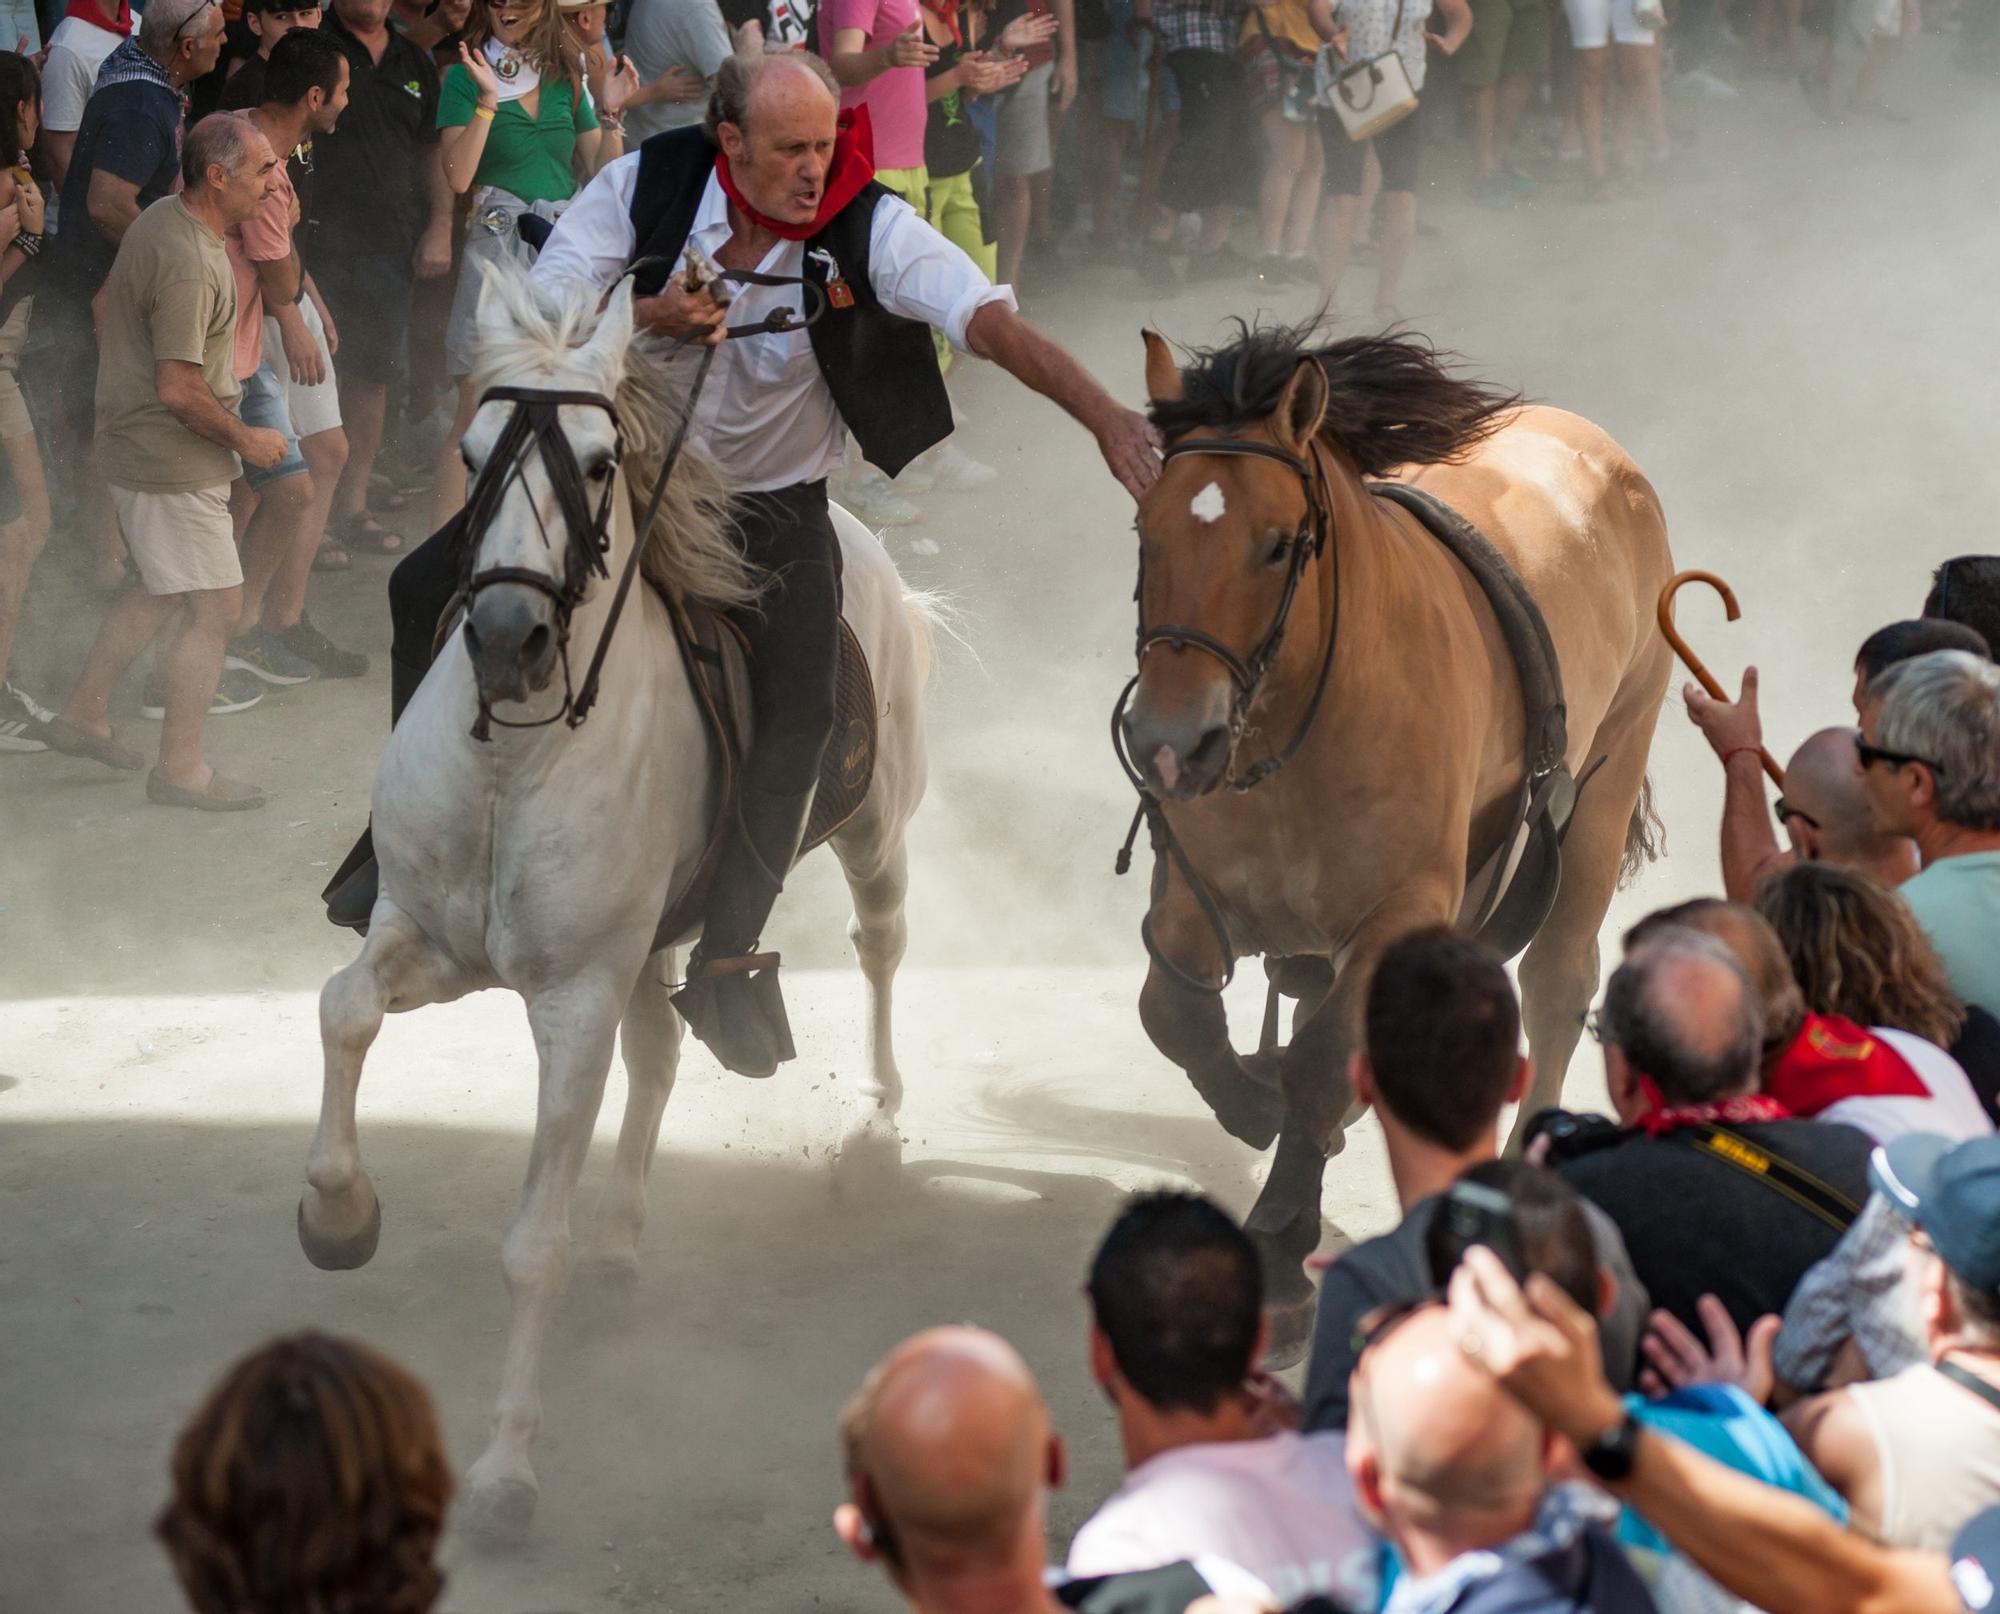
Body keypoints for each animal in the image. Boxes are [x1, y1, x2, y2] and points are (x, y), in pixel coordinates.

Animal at [298, 268, 936, 1544]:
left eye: (599, 462)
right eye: (473, 450)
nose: (507, 636)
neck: (515, 761)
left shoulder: (572, 998)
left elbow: (531, 1244)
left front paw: (505, 1471)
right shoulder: (425, 940)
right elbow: (345, 1007)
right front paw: (338, 1213)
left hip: (871, 830)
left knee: (878, 944)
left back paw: (876, 1122)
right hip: (648, 941)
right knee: (659, 1053)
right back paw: (625, 1238)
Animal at [1128, 322, 1672, 1360]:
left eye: (1275, 545)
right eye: (1148, 532)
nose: (1169, 742)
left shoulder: (1406, 906)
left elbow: (1321, 1058)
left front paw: (1280, 1239)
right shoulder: (1195, 893)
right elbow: (1175, 1014)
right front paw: (1253, 1108)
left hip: (1610, 774)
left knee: (1557, 984)